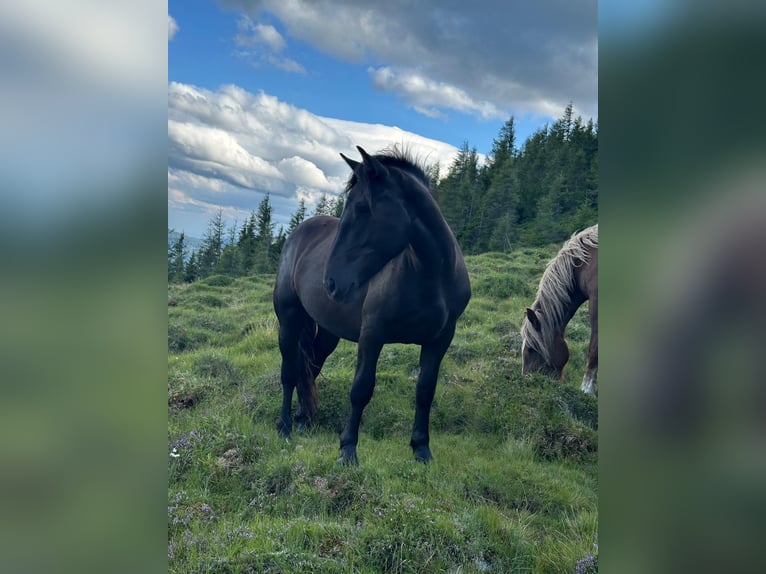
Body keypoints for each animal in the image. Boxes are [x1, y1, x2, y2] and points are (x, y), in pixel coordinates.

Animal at [273, 146, 471, 465]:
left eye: (363, 208)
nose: (331, 283)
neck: (432, 274)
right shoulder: (372, 335)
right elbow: (361, 389)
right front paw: (347, 450)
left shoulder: (440, 340)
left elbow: (425, 391)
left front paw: (421, 449)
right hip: (289, 320)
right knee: (289, 372)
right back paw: (285, 426)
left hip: (328, 331)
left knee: (310, 367)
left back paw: (303, 419)